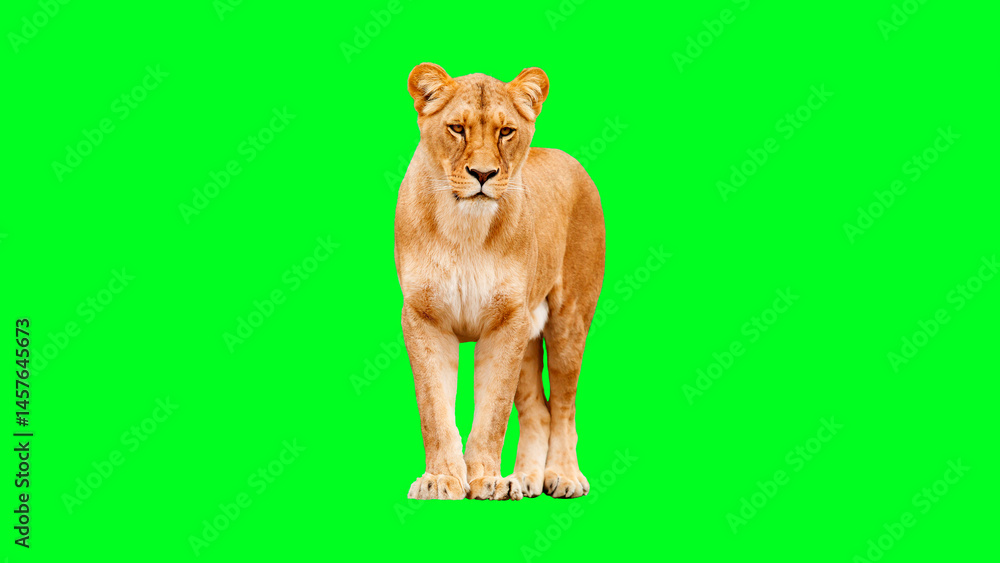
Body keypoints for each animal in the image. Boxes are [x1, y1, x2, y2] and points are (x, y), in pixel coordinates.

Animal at [394, 63, 605, 500]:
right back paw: (525, 478)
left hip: (568, 320)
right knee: (539, 411)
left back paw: (562, 476)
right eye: (457, 128)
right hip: (528, 335)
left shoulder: (507, 321)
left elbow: (493, 412)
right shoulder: (424, 317)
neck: (464, 228)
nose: (483, 174)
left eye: (506, 131)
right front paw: (441, 480)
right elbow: (434, 410)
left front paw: (486, 480)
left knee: (563, 406)